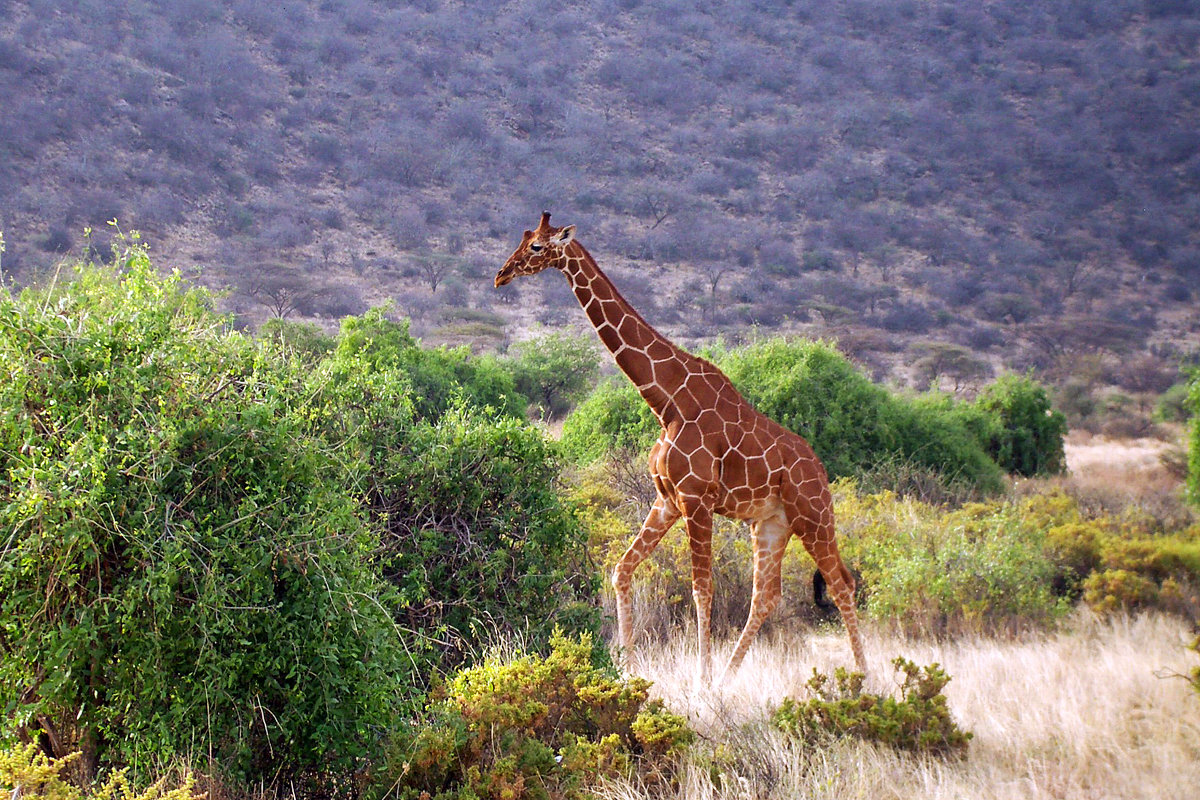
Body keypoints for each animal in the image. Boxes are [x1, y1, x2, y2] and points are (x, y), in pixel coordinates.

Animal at [492, 211, 868, 681]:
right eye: (524, 238)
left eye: (538, 247)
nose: (501, 275)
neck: (666, 401)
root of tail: (822, 472)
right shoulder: (667, 498)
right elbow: (621, 570)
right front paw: (630, 672)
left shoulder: (696, 498)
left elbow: (701, 589)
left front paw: (701, 682)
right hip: (771, 524)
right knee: (767, 596)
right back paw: (729, 679)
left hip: (813, 516)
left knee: (841, 583)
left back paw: (865, 679)